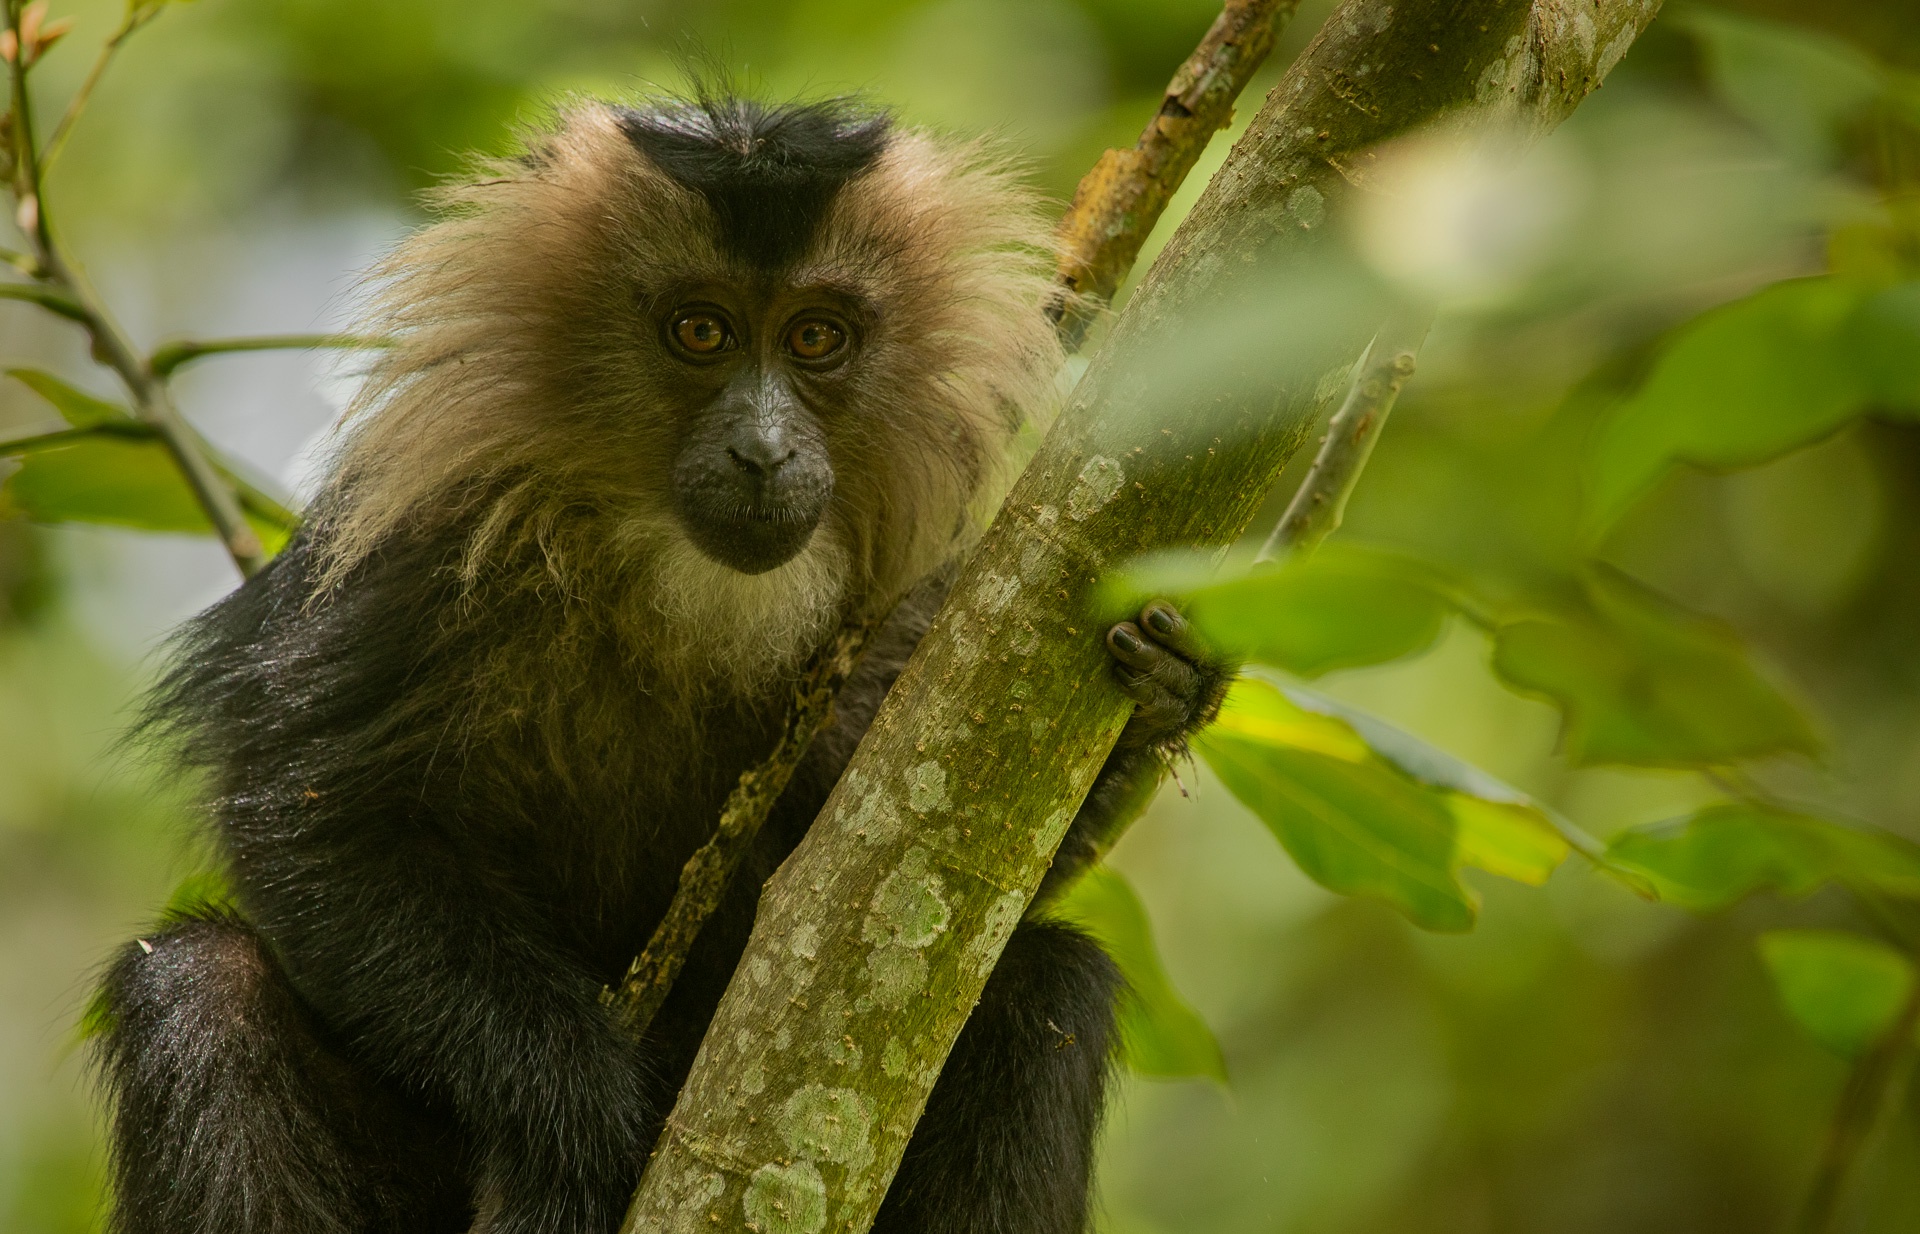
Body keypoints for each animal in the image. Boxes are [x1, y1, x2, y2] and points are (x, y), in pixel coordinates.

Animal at [93, 96, 1228, 1234]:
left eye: (817, 337)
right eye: (701, 330)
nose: (764, 453)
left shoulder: (899, 608)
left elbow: (920, 863)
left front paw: (1164, 691)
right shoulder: (420, 542)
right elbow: (316, 821)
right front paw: (570, 1103)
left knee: (1043, 989)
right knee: (201, 988)